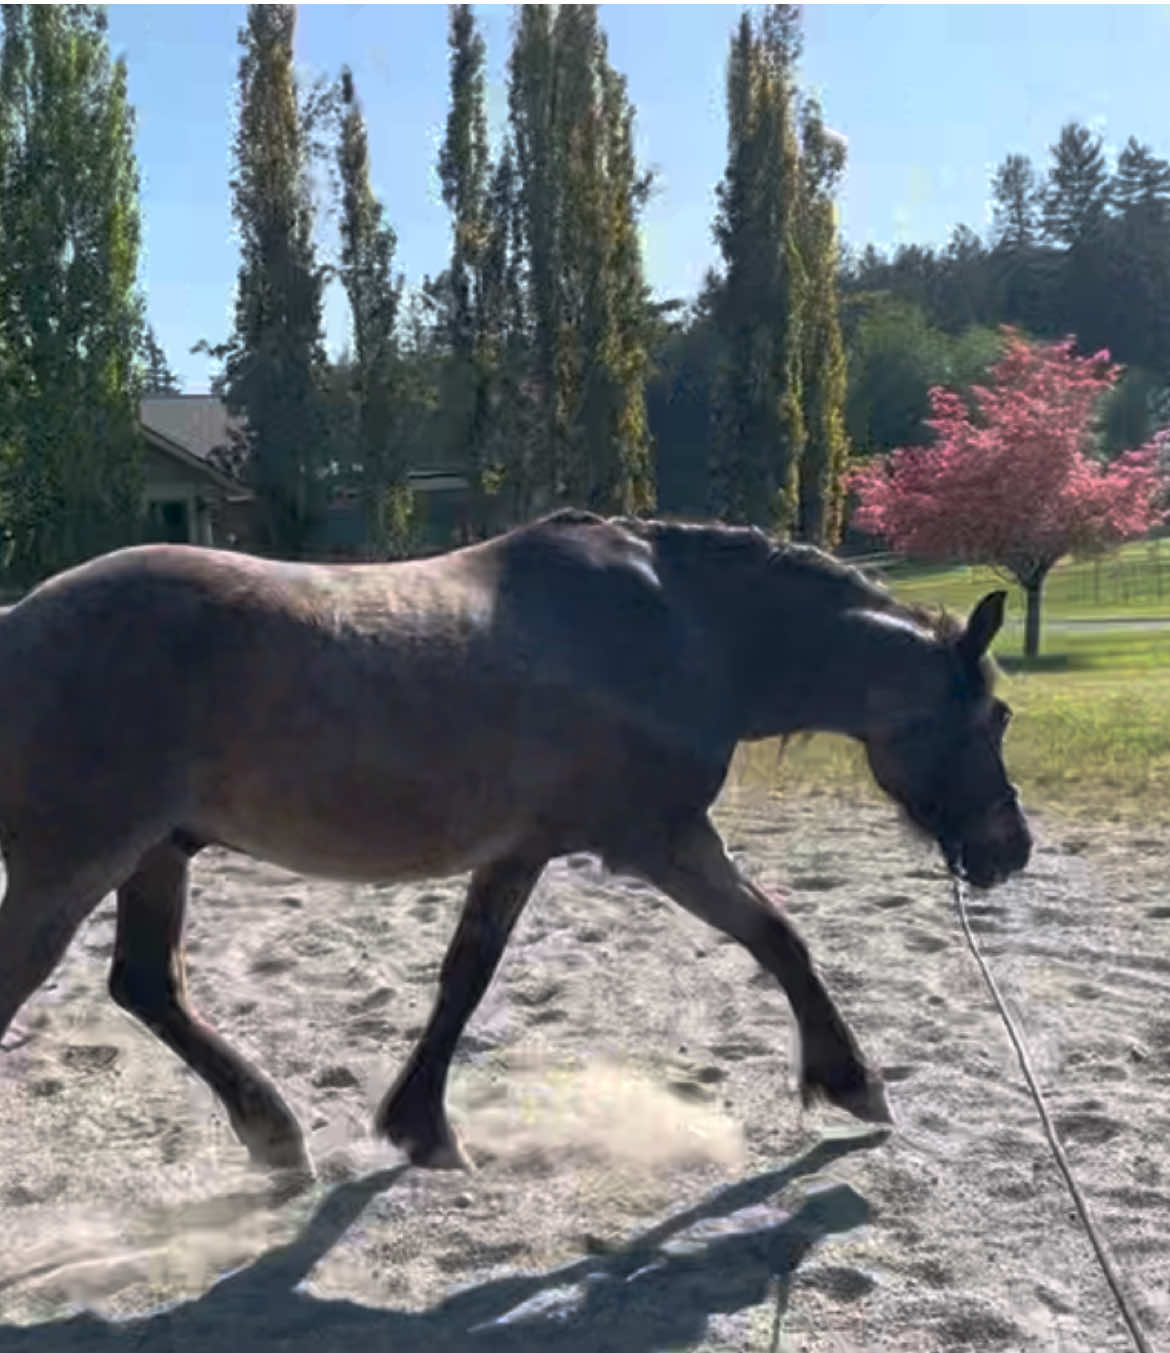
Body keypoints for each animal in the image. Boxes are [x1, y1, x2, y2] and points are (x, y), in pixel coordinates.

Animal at [0, 508, 1031, 1180]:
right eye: (998, 717)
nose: (1010, 848)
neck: (686, 629)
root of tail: (18, 621)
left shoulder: (518, 852)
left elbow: (465, 975)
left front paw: (419, 1127)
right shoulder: (661, 839)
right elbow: (779, 936)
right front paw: (852, 1081)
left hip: (155, 854)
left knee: (147, 984)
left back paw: (276, 1135)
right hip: (73, 865)